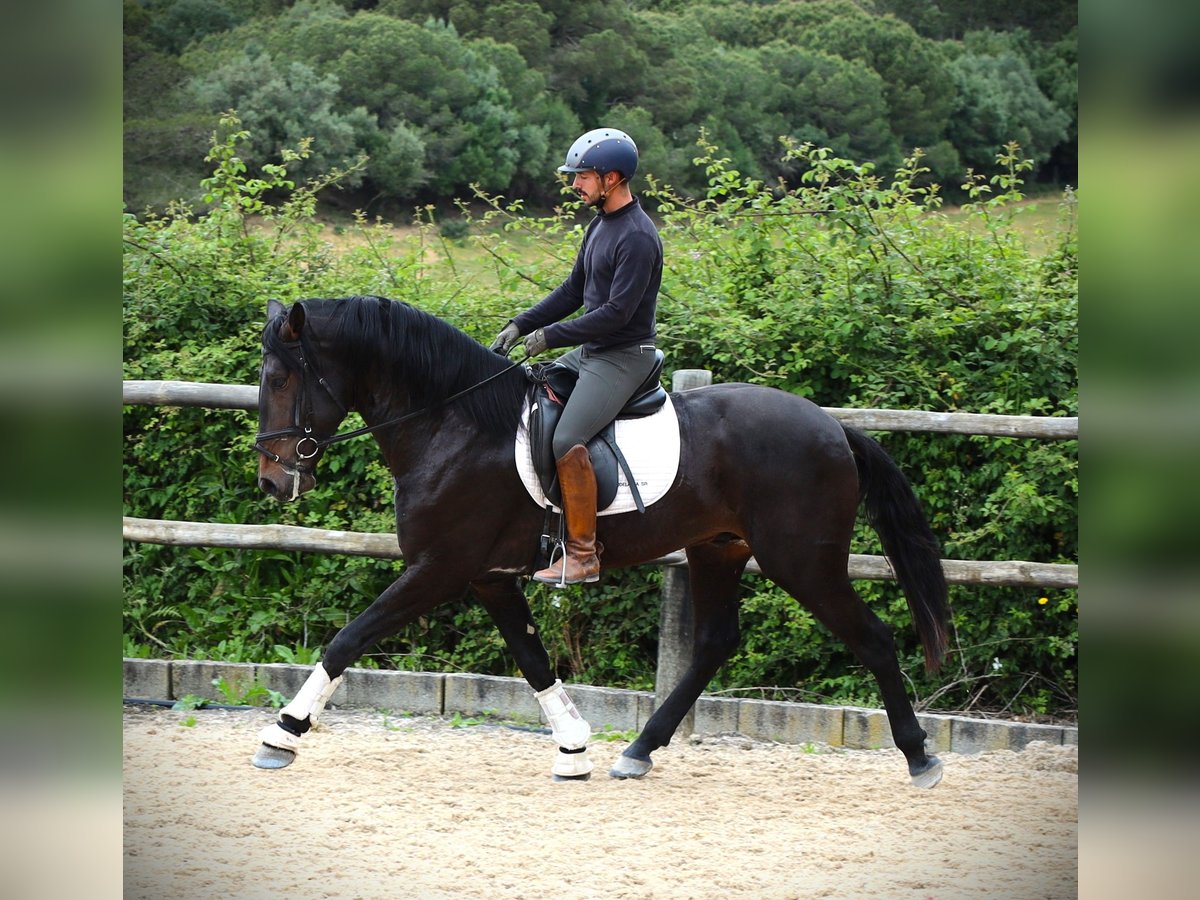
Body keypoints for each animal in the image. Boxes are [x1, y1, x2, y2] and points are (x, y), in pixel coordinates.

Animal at [255, 297, 955, 787]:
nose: (271, 479)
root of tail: (834, 428)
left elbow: (349, 638)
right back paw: (638, 752)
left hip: (803, 562)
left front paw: (282, 735)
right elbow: (534, 659)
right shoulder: (487, 576)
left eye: (282, 380)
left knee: (873, 637)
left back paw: (920, 757)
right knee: (714, 643)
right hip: (718, 549)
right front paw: (572, 749)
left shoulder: (440, 567)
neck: (452, 425)